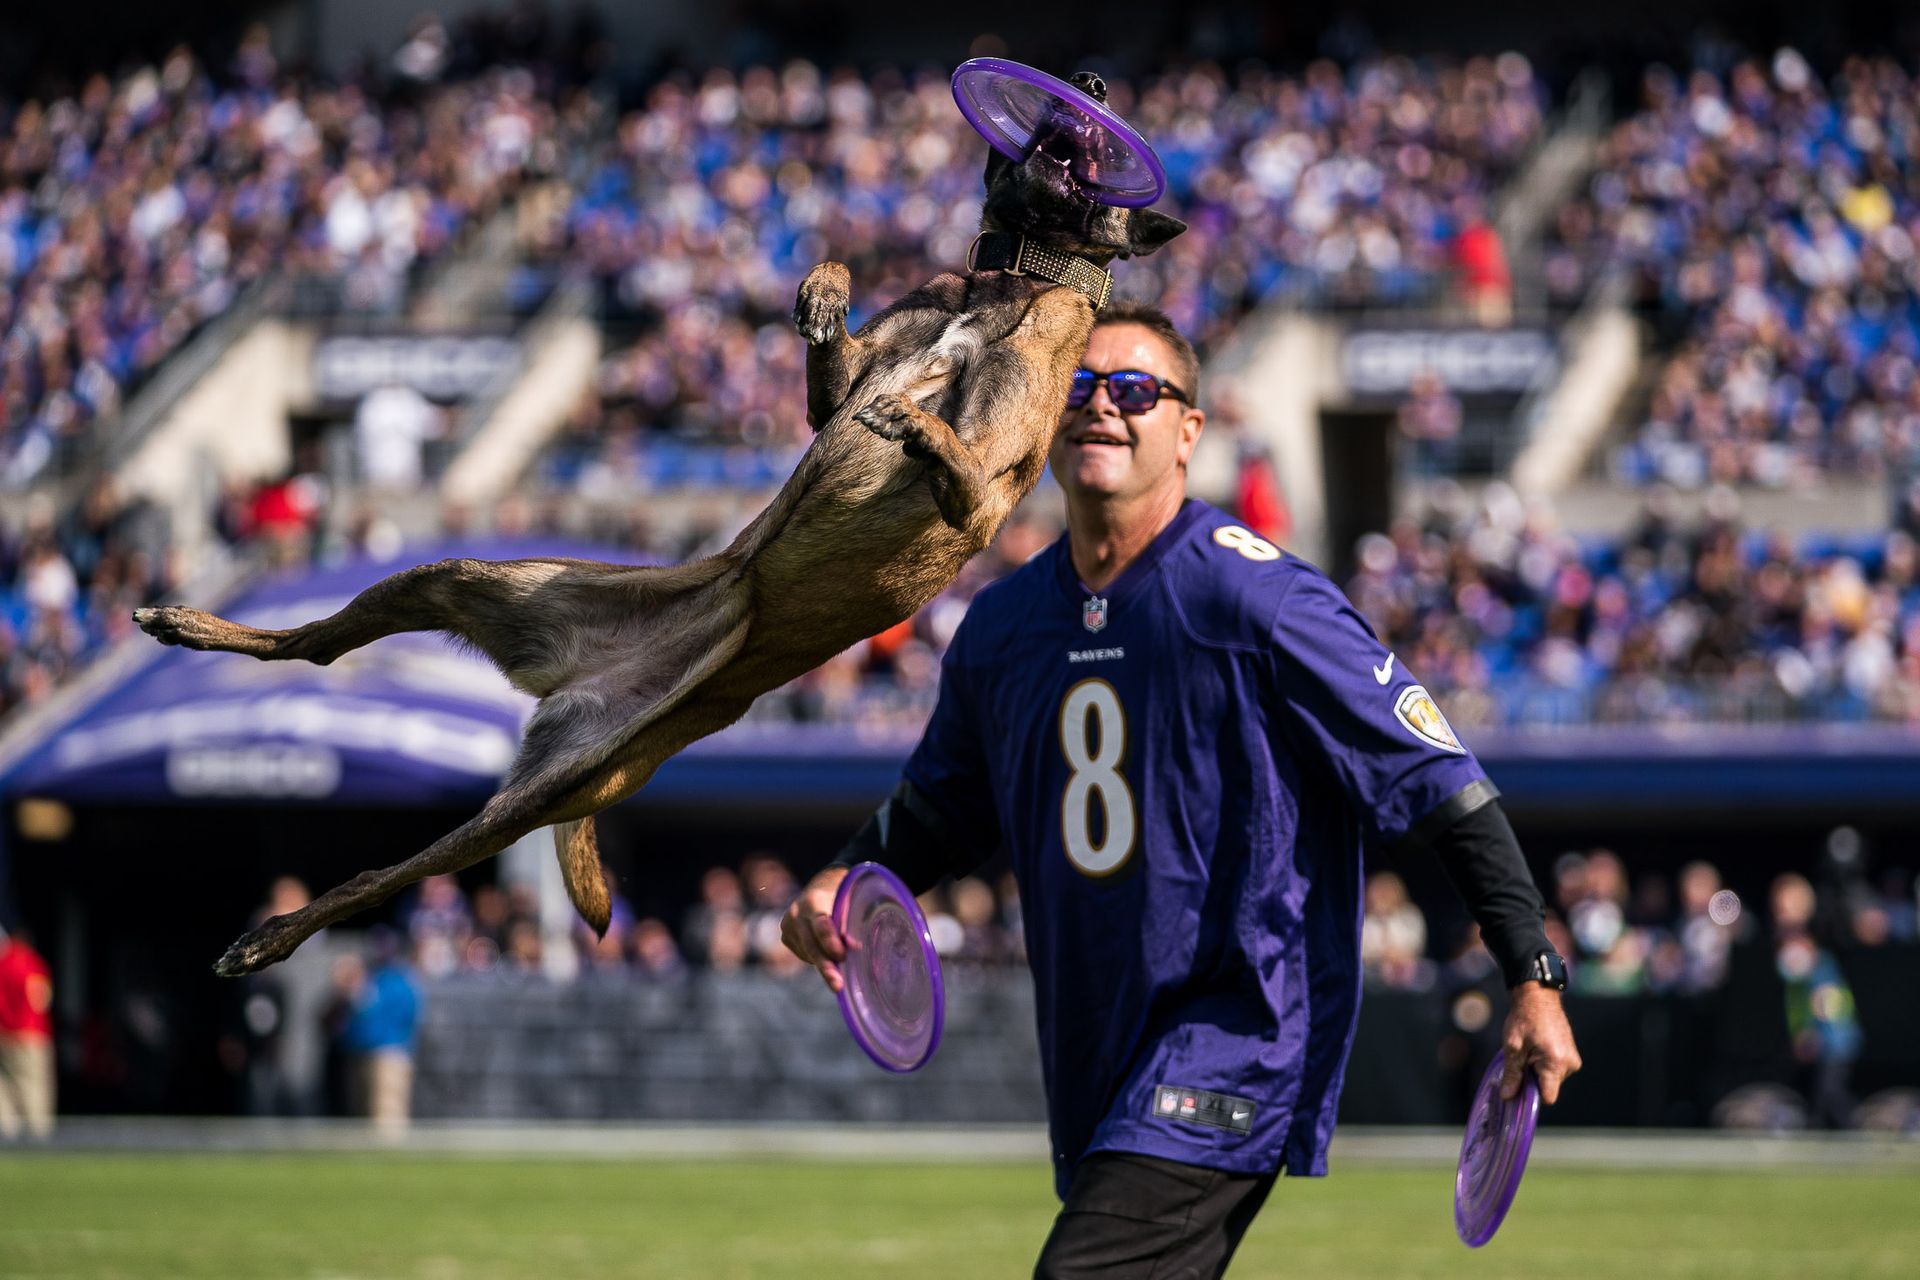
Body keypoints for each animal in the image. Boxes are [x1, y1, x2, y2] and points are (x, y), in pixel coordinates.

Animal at [135, 70, 1175, 974]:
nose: (1093, 83)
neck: (1012, 277)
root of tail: (580, 685)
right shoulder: (844, 389)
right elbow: (835, 346)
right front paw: (825, 290)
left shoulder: (983, 499)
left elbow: (950, 453)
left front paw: (914, 422)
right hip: (471, 589)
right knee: (315, 650)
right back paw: (183, 627)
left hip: (535, 794)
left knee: (381, 870)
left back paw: (268, 935)